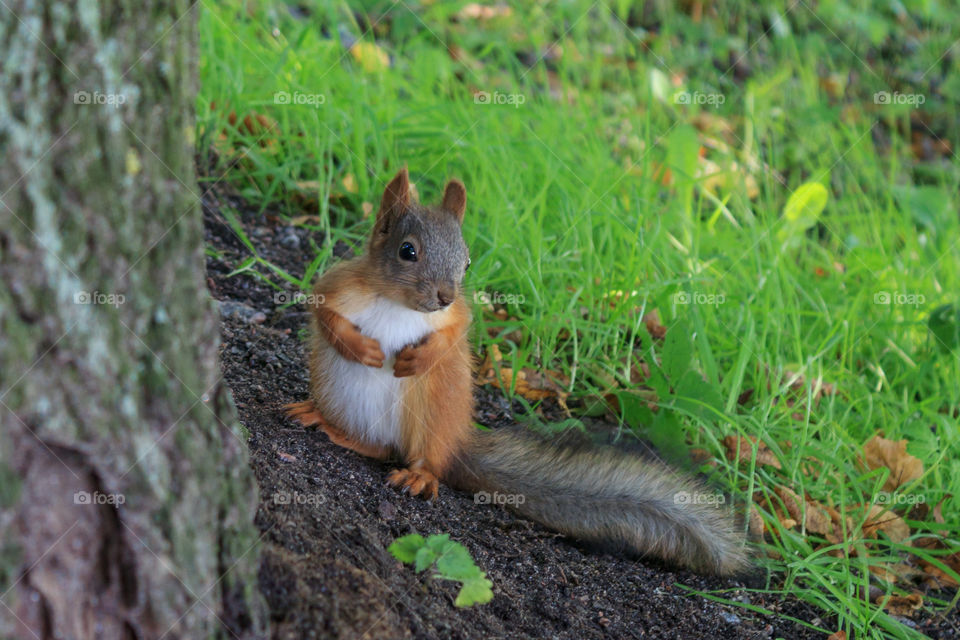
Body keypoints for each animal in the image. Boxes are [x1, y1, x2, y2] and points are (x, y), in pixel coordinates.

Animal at [285, 167, 749, 576]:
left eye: (467, 261)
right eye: (407, 250)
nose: (444, 295)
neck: (397, 304)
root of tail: (456, 443)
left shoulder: (455, 315)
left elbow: (457, 330)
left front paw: (422, 355)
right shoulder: (339, 286)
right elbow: (323, 310)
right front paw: (359, 346)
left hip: (430, 413)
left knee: (414, 457)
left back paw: (418, 475)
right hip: (339, 391)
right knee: (375, 446)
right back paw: (326, 423)